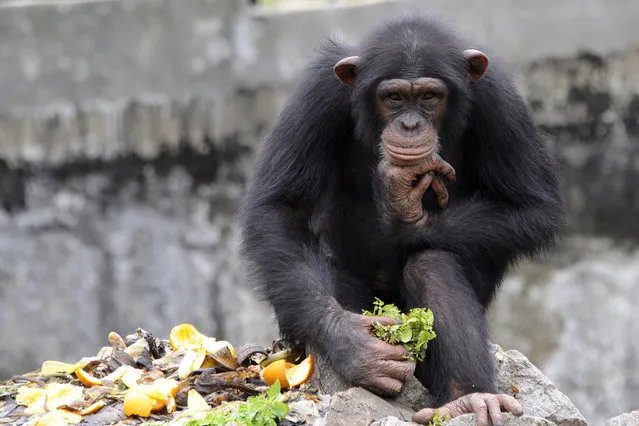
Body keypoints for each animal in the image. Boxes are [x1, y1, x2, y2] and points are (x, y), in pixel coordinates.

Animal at [239, 13, 564, 426]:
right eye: (394, 97)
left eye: (428, 96)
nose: (410, 125)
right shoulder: (318, 94)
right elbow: (282, 207)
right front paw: (355, 345)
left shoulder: (500, 101)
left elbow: (533, 206)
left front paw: (403, 211)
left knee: (432, 265)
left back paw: (469, 397)